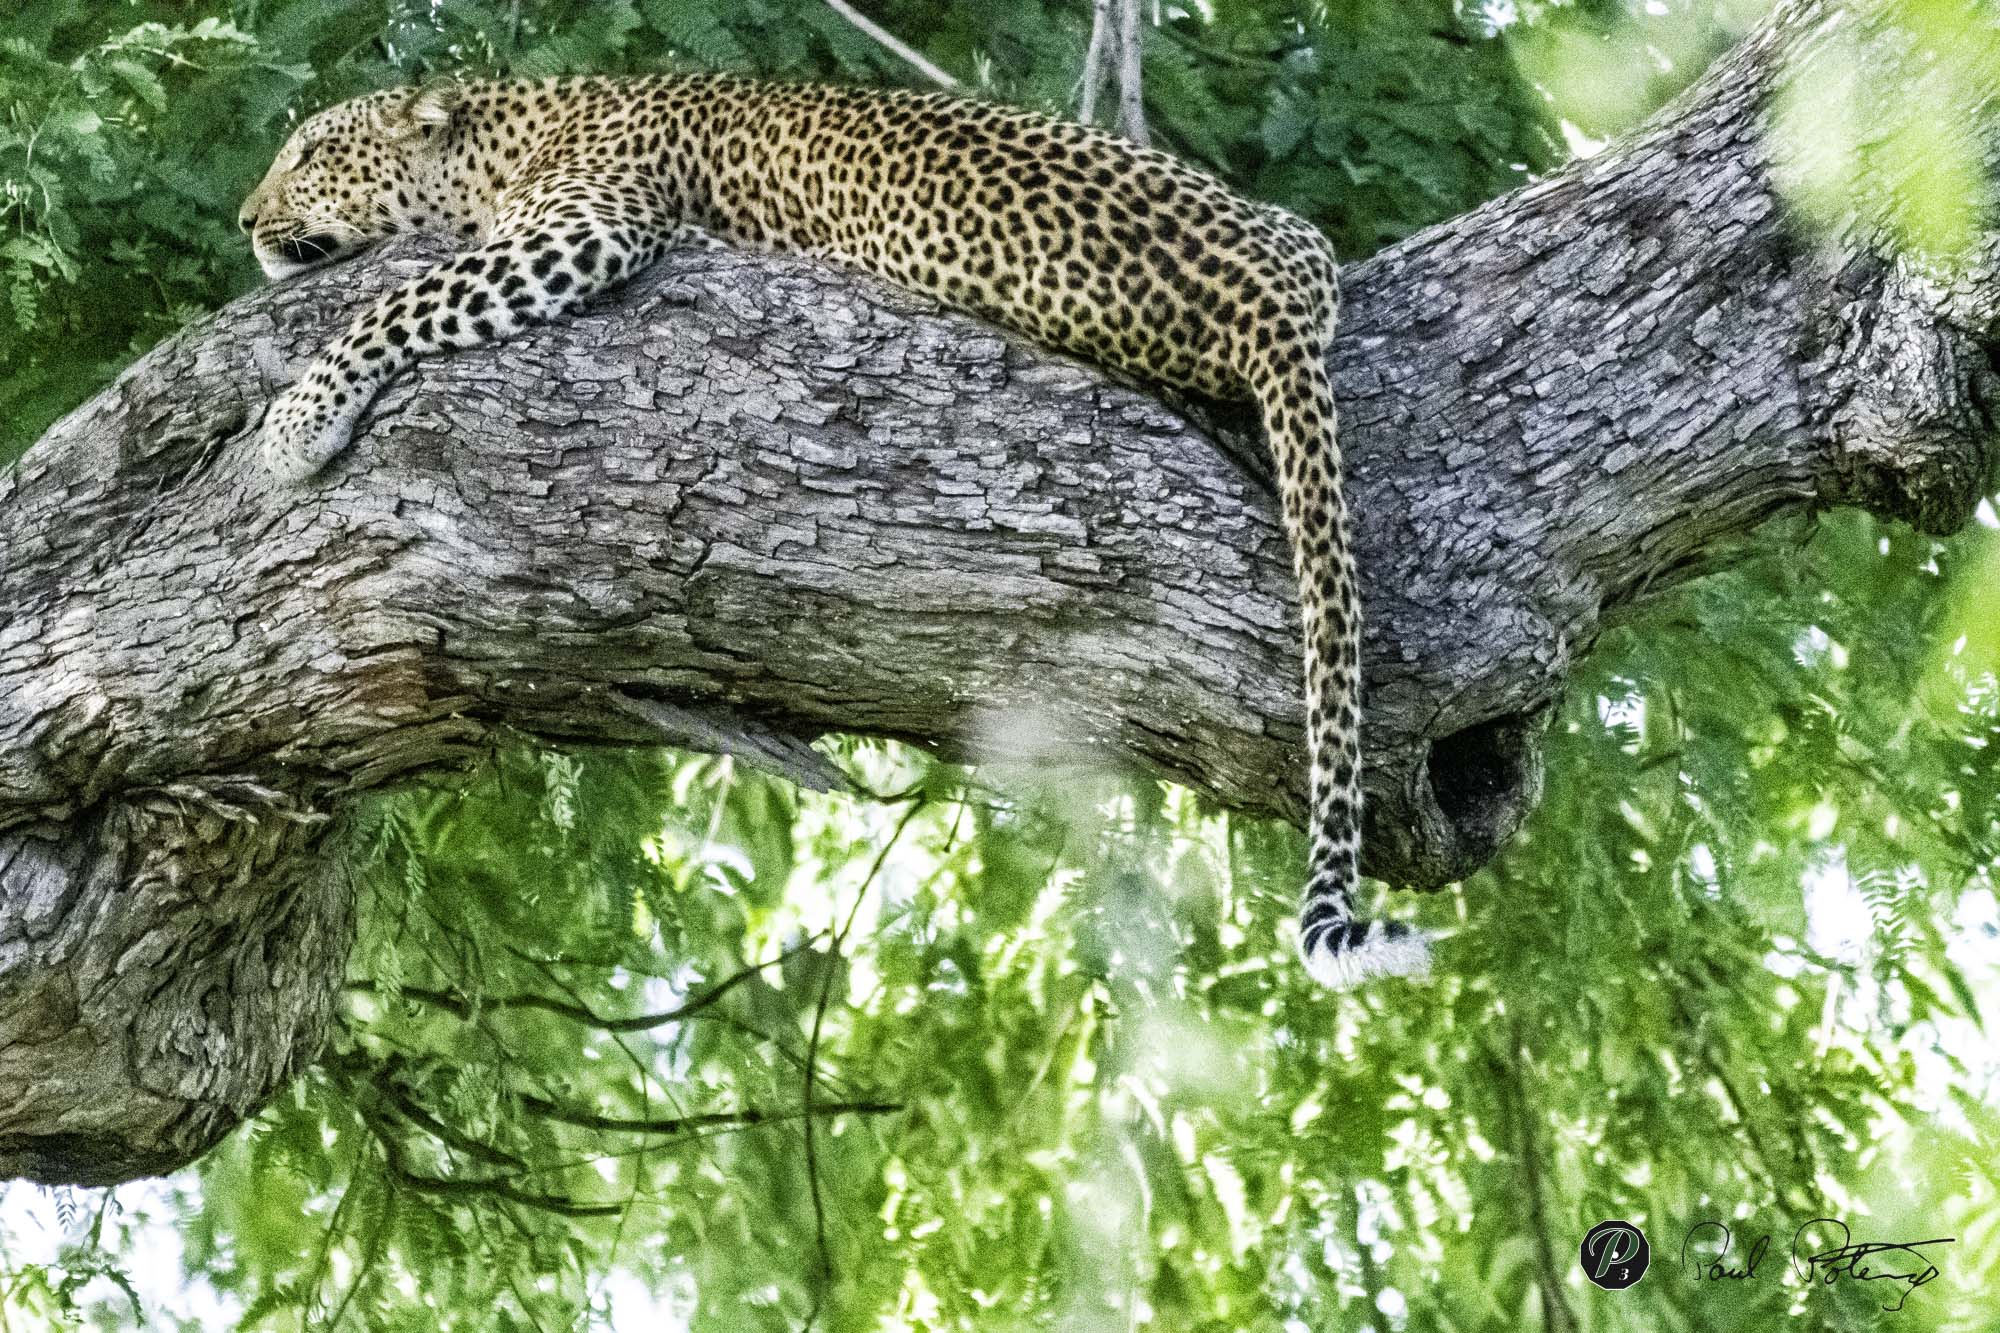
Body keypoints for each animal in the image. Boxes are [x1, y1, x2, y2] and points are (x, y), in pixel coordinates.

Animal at [238, 73, 1433, 989]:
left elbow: (398, 303)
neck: (507, 130)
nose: (246, 221)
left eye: (310, 154)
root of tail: (1268, 298)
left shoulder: (581, 227)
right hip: (1298, 239)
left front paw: (295, 425)